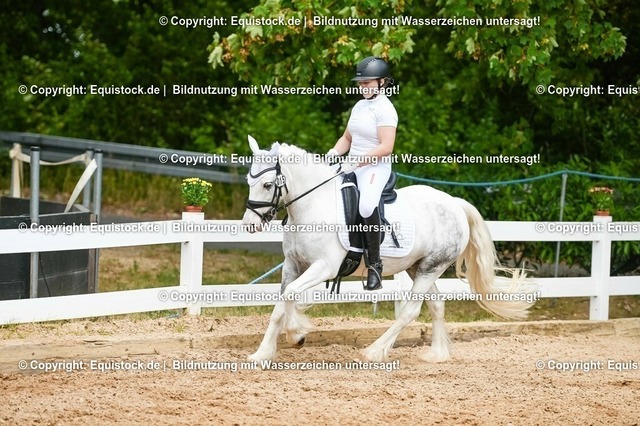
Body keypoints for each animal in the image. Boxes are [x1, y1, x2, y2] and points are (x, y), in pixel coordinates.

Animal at [241, 136, 535, 363]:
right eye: (248, 180)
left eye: (268, 185)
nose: (249, 225)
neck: (314, 205)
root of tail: (454, 203)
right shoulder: (293, 264)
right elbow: (282, 302)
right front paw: (271, 348)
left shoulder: (324, 267)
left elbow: (289, 296)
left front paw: (287, 338)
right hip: (420, 268)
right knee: (437, 305)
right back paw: (436, 354)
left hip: (431, 267)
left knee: (410, 311)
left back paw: (373, 351)